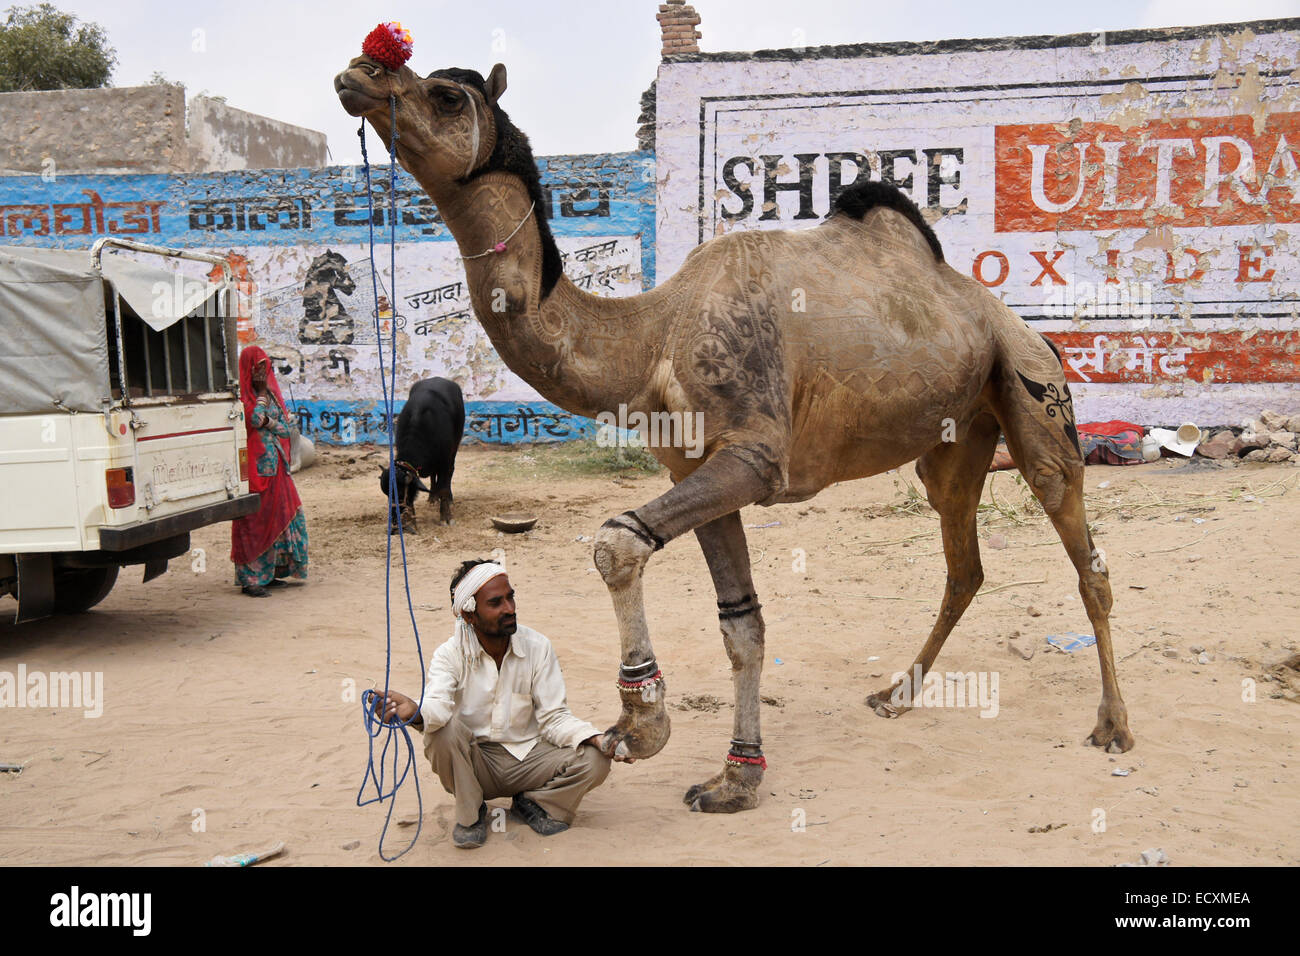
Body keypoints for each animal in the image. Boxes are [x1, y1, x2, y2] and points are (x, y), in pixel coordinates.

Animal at [338, 26, 1138, 811]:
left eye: (446, 94)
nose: (359, 72)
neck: (652, 337)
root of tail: (1018, 325)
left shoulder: (753, 457)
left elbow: (615, 543)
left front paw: (643, 725)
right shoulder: (698, 466)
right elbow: (741, 622)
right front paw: (737, 776)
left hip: (1032, 388)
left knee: (1086, 554)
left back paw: (1115, 726)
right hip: (954, 442)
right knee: (963, 563)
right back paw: (896, 693)